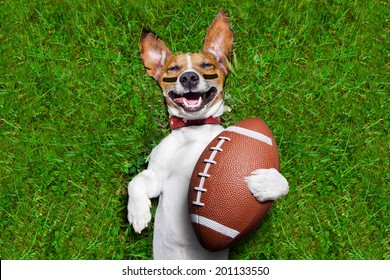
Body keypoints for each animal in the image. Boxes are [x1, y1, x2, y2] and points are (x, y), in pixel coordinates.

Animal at [126, 10, 288, 260]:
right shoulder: (157, 176)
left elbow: (284, 183)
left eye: (206, 65)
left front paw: (266, 182)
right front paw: (138, 213)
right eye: (173, 69)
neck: (195, 129)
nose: (189, 77)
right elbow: (135, 182)